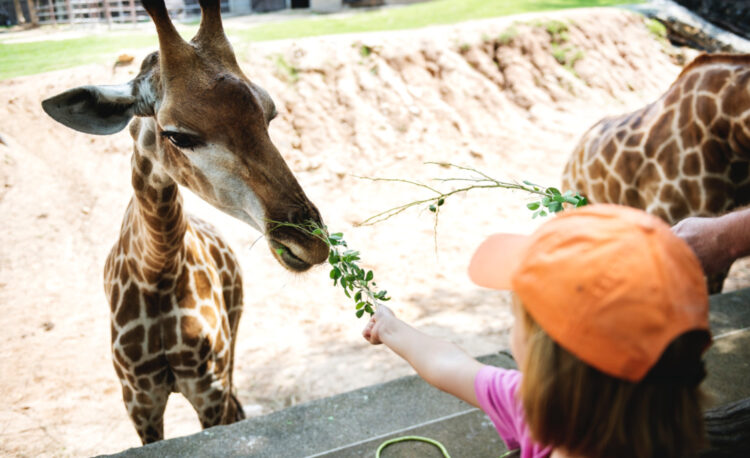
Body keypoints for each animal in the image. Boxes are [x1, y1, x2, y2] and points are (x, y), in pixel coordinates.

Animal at [37, 0, 326, 444]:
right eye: (177, 134)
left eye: (269, 114)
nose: (310, 242)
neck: (157, 270)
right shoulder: (138, 399)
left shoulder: (208, 387)